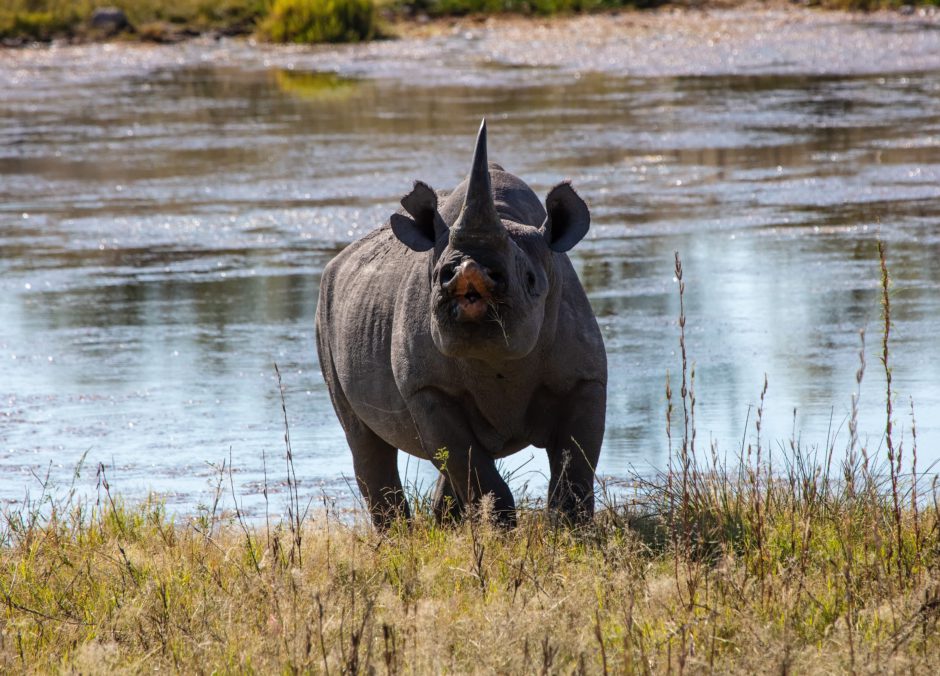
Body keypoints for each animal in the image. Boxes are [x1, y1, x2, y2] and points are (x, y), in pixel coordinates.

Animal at [318, 121, 608, 528]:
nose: (467, 271)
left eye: (532, 281)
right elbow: (470, 465)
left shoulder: (585, 378)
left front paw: (569, 531)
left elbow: (575, 463)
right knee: (367, 443)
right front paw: (501, 532)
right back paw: (397, 536)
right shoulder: (426, 388)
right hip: (324, 311)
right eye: (439, 275)